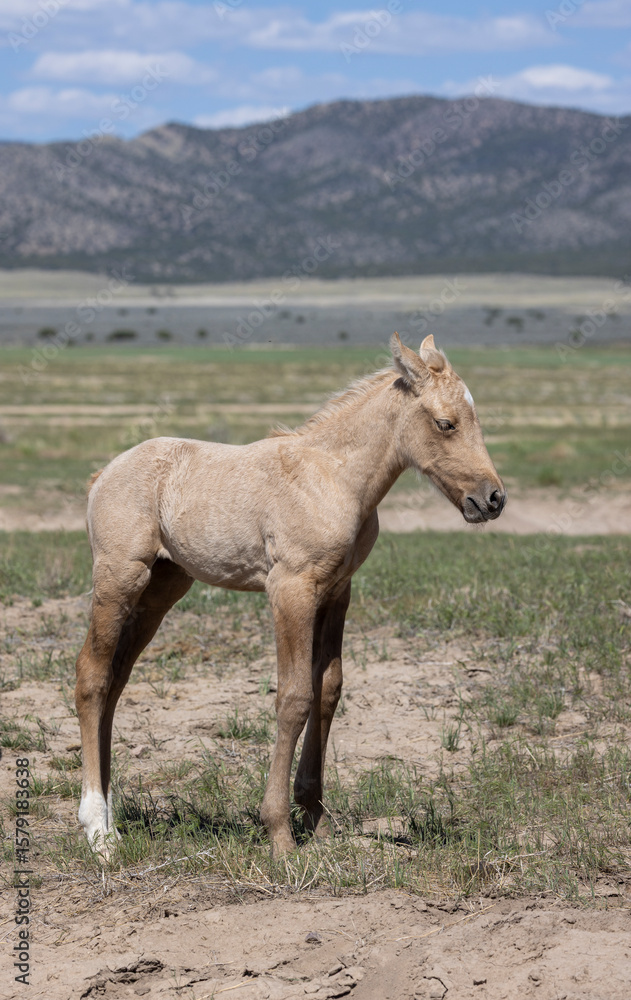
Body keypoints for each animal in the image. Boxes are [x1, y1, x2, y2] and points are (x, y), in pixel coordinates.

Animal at [75, 333, 506, 858]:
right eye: (446, 423)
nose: (492, 499)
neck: (334, 479)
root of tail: (103, 474)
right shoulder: (291, 590)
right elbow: (295, 696)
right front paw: (279, 831)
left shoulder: (336, 592)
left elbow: (328, 689)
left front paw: (316, 817)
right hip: (119, 579)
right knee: (92, 677)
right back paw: (98, 829)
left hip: (162, 588)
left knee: (116, 681)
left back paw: (113, 819)